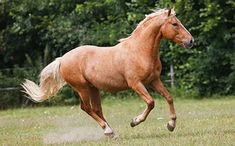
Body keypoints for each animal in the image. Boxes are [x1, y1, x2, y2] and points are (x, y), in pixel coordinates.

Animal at [21, 8, 193, 138]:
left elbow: (169, 97)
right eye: (174, 24)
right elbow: (151, 102)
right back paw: (108, 130)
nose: (191, 41)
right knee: (86, 108)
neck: (140, 51)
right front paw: (134, 121)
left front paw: (171, 125)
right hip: (82, 88)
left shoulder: (154, 81)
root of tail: (62, 59)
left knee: (97, 109)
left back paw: (113, 133)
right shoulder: (136, 84)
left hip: (93, 88)